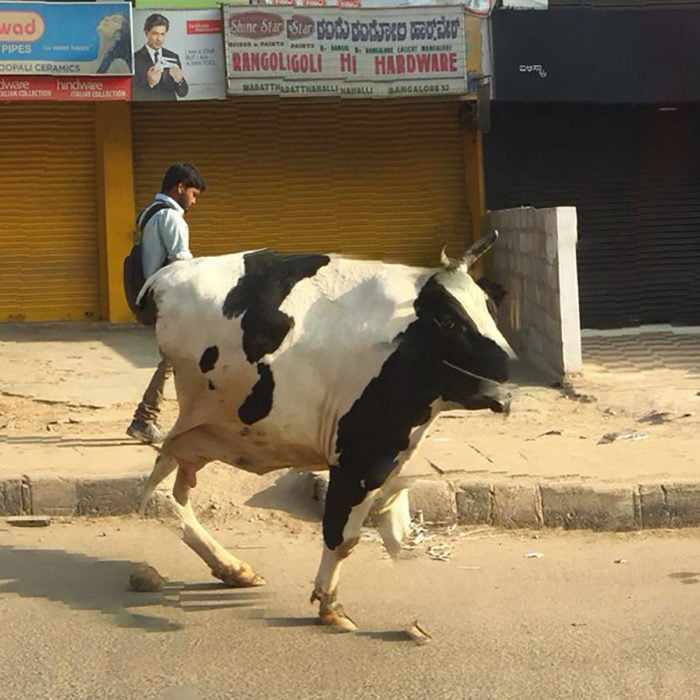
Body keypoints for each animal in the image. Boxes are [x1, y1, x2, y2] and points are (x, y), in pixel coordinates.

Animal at [137, 232, 516, 632]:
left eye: (489, 308)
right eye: (448, 320)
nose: (508, 364)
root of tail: (166, 277)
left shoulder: (388, 453)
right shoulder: (359, 457)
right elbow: (342, 534)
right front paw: (329, 604)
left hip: (199, 432)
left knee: (173, 491)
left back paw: (231, 568)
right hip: (194, 421)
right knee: (164, 495)